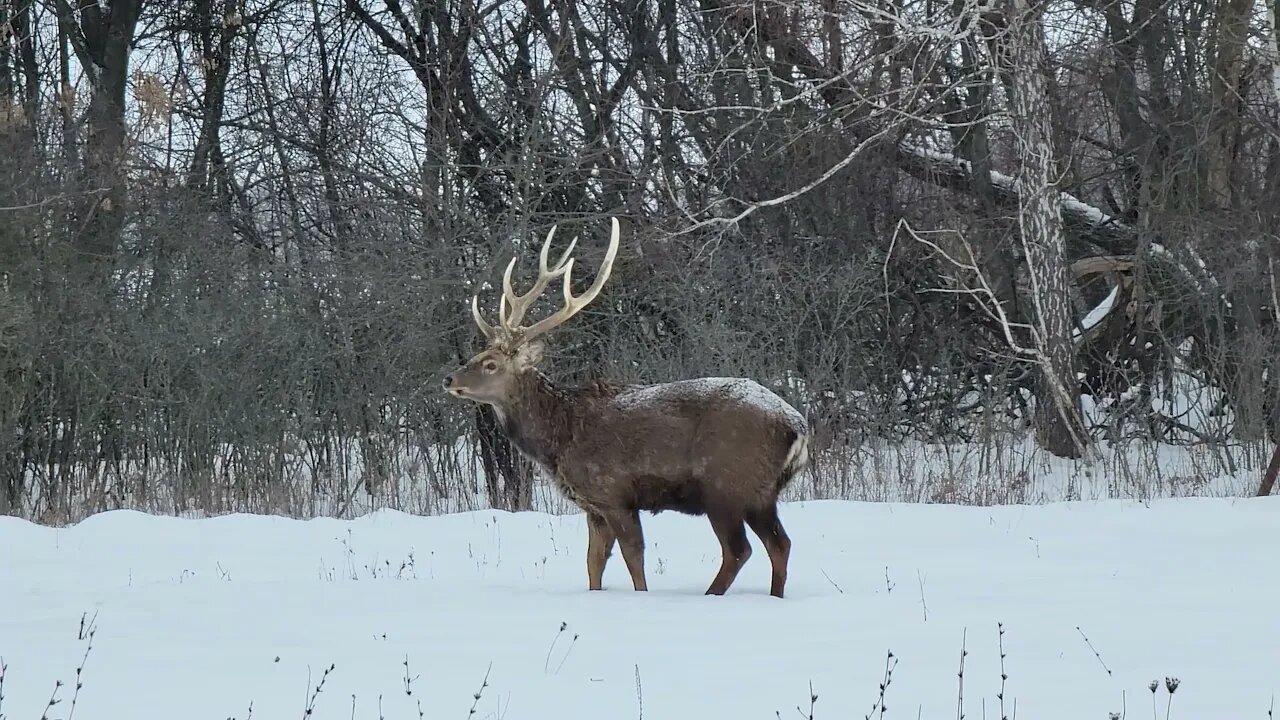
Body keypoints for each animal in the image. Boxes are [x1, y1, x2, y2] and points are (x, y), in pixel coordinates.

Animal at [440, 215, 808, 597]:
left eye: (490, 364)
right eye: (478, 354)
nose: (449, 379)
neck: (560, 436)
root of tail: (796, 426)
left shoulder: (614, 493)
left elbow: (634, 558)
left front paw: (640, 597)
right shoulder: (593, 507)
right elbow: (593, 563)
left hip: (725, 485)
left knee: (739, 550)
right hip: (761, 494)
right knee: (779, 544)